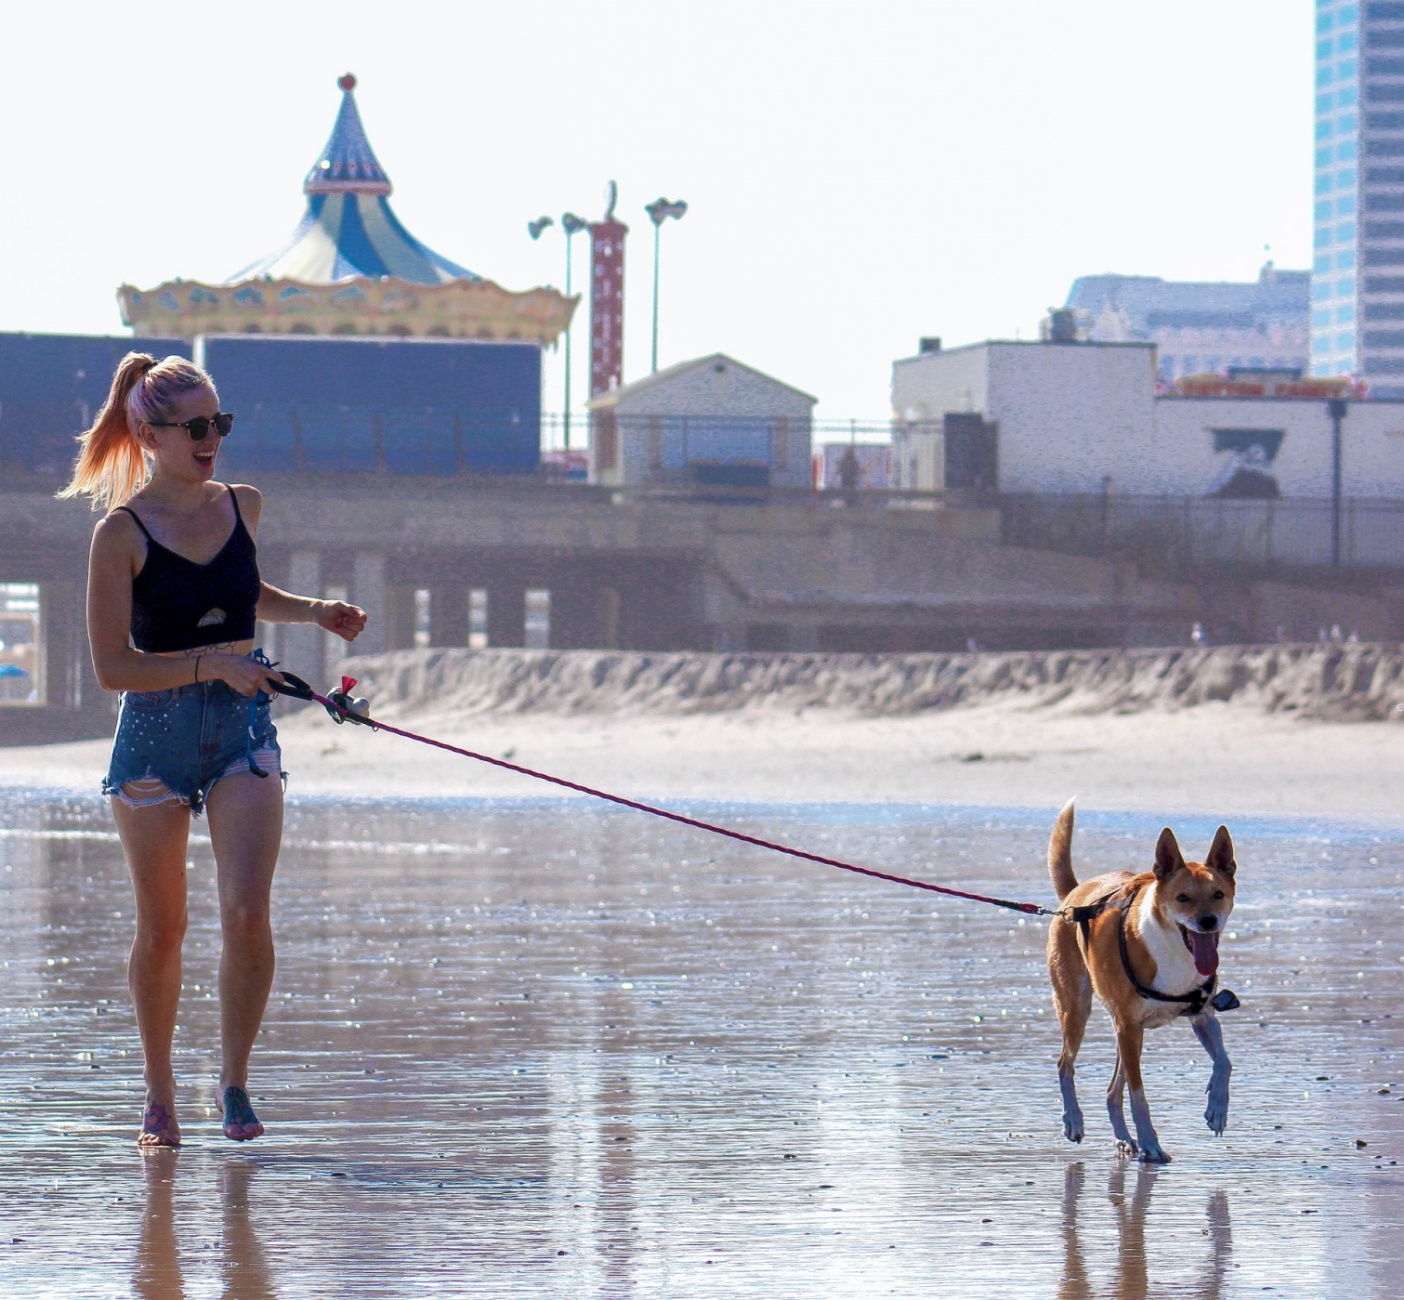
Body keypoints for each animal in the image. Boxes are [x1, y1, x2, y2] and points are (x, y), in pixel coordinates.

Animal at [1050, 797, 1235, 1168]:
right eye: (1183, 898)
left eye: (1218, 894)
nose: (1208, 922)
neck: (1174, 949)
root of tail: (1072, 897)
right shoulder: (1128, 1027)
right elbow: (1139, 1096)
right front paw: (1152, 1143)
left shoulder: (1202, 1016)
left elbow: (1224, 1062)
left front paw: (1217, 1109)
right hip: (1080, 1010)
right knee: (1065, 1064)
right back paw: (1074, 1120)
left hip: (1127, 1034)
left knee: (1111, 1092)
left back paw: (1123, 1138)